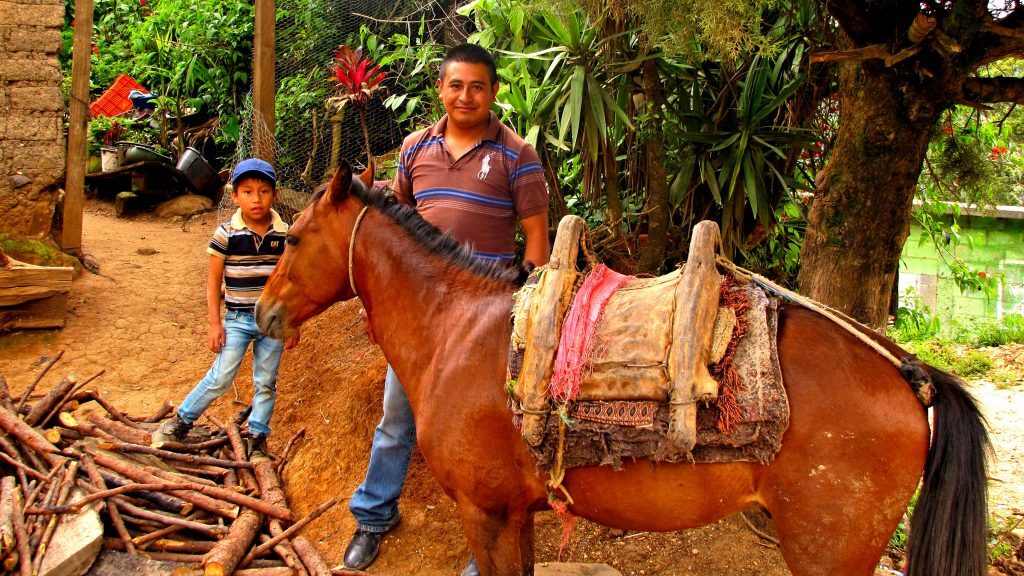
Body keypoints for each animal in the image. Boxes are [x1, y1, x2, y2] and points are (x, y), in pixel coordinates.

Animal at [255, 163, 990, 576]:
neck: (456, 327)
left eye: (293, 239)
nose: (262, 312)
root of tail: (907, 371)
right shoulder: (516, 515)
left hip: (829, 550)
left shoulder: (486, 513)